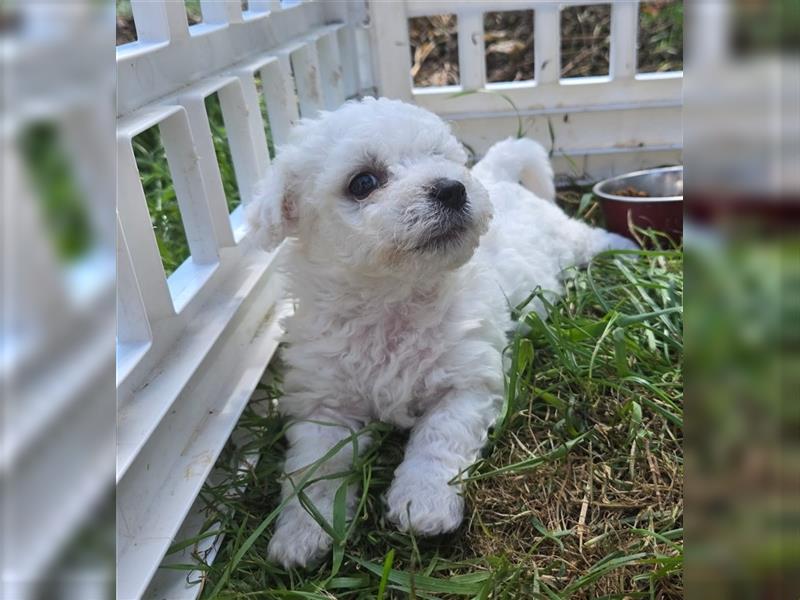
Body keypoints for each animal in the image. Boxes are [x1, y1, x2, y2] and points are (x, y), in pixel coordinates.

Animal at [248, 97, 632, 568]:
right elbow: (314, 467)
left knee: (589, 236)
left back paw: (627, 247)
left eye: (438, 157)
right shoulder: (323, 405)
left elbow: (438, 439)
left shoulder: (467, 383)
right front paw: (301, 533)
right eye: (363, 182)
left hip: (567, 238)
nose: (452, 188)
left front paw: (423, 503)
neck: (391, 299)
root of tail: (496, 175)